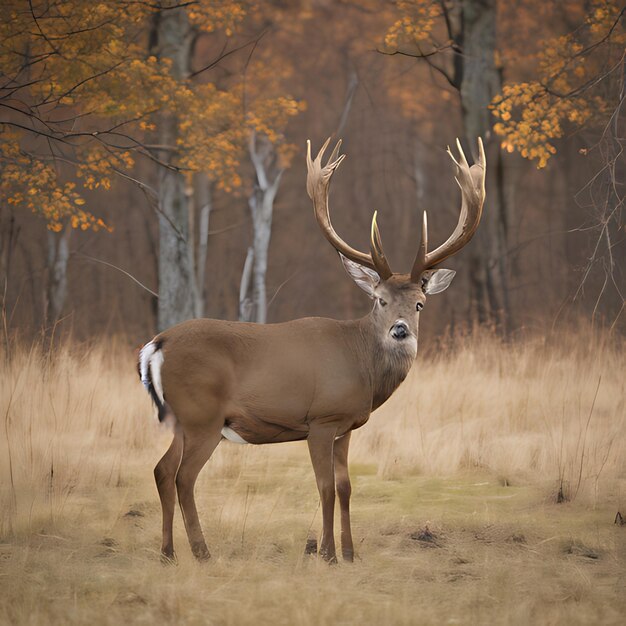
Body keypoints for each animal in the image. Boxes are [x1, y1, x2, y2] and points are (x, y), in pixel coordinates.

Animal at [139, 135, 486, 560]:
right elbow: (324, 489)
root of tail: (157, 344)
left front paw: (350, 553)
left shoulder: (347, 426)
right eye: (380, 300)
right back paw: (202, 553)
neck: (362, 365)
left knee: (162, 470)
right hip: (203, 416)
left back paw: (168, 553)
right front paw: (328, 554)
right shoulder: (321, 419)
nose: (401, 330)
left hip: (181, 419)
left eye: (420, 302)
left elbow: (346, 488)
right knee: (183, 477)